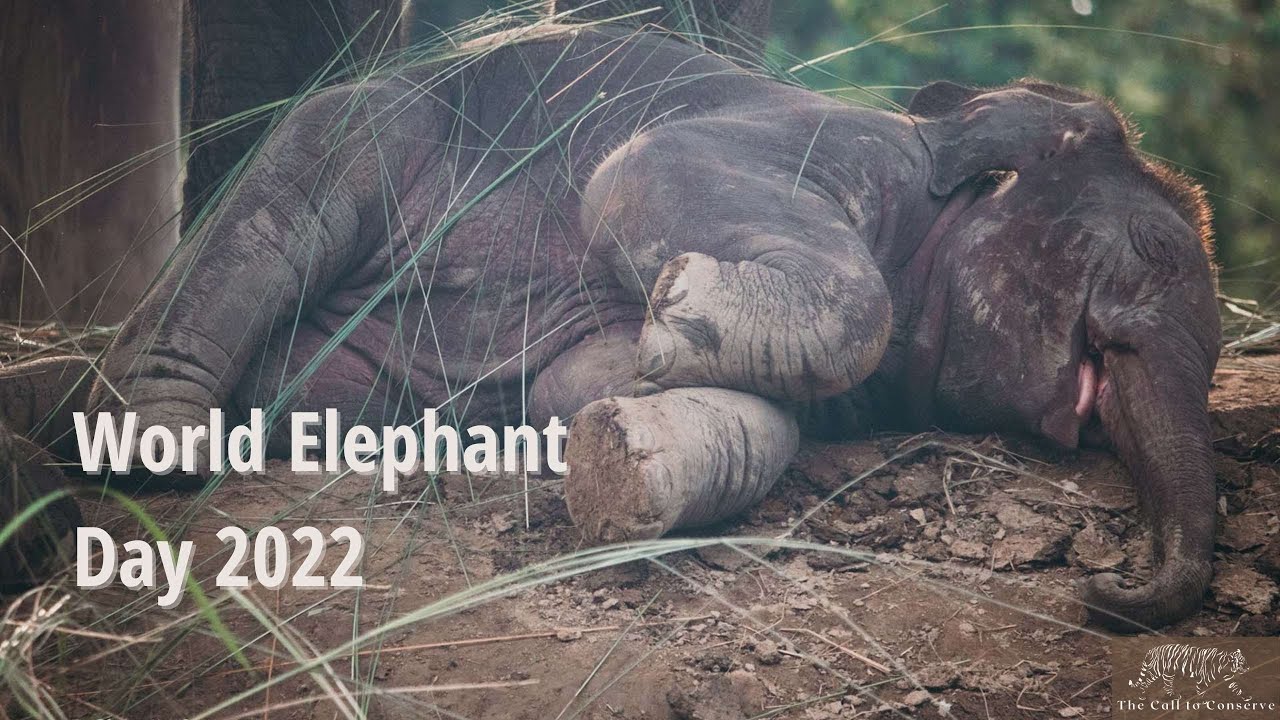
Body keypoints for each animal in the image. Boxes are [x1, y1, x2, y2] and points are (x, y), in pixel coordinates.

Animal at [0, 19, 1220, 633]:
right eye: (1152, 252)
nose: (1106, 589)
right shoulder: (813, 147)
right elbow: (639, 180)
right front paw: (675, 307)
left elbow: (583, 382)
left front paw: (624, 419)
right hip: (363, 128)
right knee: (274, 216)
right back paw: (154, 447)